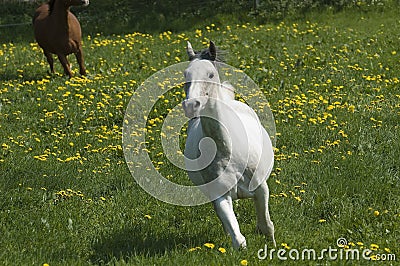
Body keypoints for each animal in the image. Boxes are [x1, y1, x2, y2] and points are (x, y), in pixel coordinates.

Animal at [183, 41, 276, 249]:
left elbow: (266, 226)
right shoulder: (220, 195)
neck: (227, 150)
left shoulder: (261, 188)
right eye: (186, 74)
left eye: (210, 74)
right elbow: (237, 237)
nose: (191, 105)